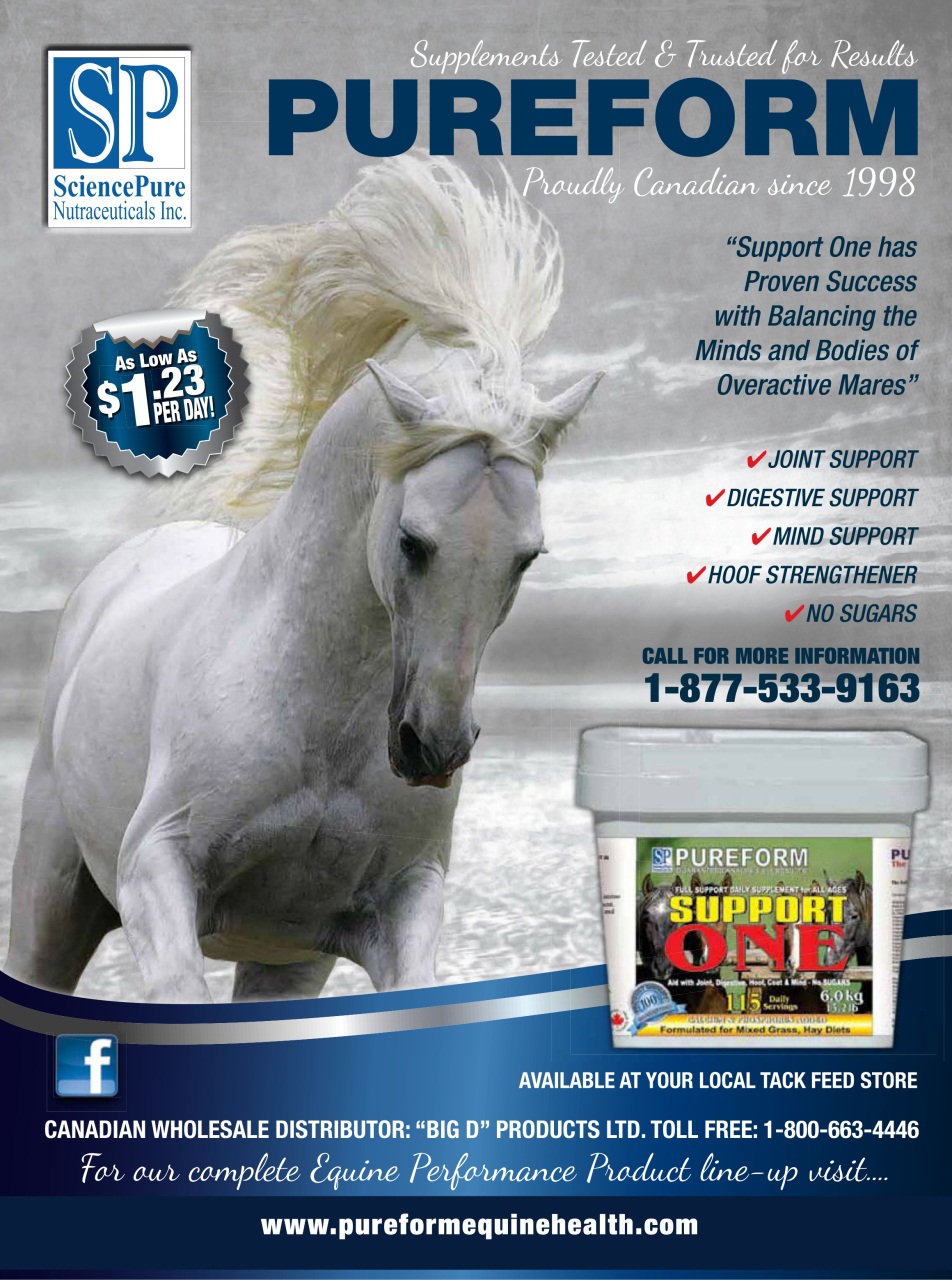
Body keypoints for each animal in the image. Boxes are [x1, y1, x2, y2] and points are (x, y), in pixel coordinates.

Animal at [6, 157, 600, 1003]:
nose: (434, 747)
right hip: (55, 893)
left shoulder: (393, 905)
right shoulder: (156, 864)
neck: (318, 719)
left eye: (528, 556)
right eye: (412, 542)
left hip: (282, 963)